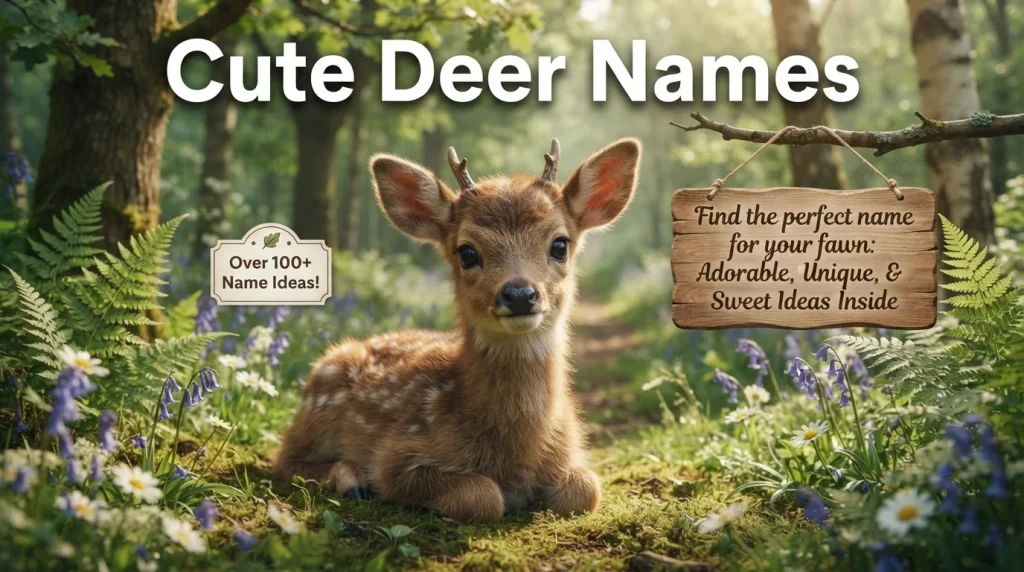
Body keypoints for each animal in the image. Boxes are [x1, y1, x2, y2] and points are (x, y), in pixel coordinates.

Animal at [272, 137, 641, 522]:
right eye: (467, 252)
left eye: (559, 244)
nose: (519, 294)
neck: (516, 455)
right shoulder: (396, 457)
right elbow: (482, 495)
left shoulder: (573, 451)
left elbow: (586, 490)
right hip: (319, 406)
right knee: (284, 459)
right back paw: (352, 480)